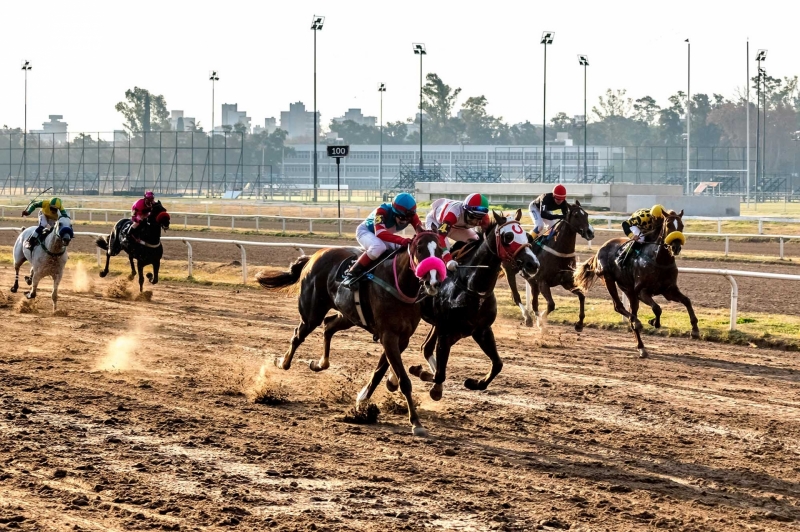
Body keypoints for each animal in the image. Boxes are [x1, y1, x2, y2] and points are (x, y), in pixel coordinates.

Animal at [256, 232, 444, 436]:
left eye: (440, 250)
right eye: (419, 249)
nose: (433, 282)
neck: (399, 284)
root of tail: (313, 256)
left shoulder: (402, 338)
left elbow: (380, 369)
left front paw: (364, 398)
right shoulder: (388, 335)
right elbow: (404, 380)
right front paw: (416, 423)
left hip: (347, 315)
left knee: (328, 326)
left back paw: (319, 364)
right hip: (312, 313)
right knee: (299, 335)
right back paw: (282, 362)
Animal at [506, 201, 592, 330]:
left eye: (586, 214)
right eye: (576, 215)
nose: (590, 232)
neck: (560, 251)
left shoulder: (566, 282)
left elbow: (582, 296)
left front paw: (579, 324)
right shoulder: (543, 282)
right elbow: (551, 304)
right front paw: (541, 321)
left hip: (532, 281)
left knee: (534, 302)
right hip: (510, 272)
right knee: (518, 297)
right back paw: (529, 318)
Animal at [572, 209, 696, 358]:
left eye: (681, 226)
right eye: (668, 225)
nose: (676, 247)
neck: (659, 260)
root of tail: (599, 251)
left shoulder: (669, 290)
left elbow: (687, 301)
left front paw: (695, 330)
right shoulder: (642, 291)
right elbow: (657, 308)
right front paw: (654, 322)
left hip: (628, 290)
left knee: (632, 313)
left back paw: (641, 347)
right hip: (608, 280)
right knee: (619, 307)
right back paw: (637, 325)